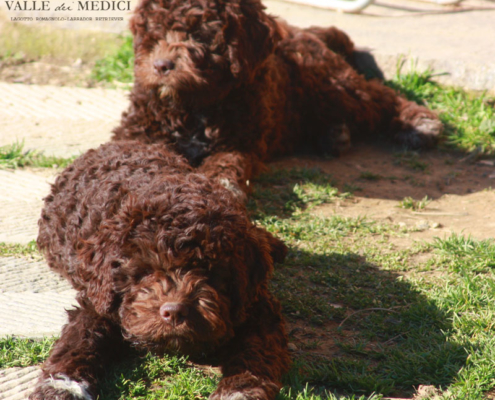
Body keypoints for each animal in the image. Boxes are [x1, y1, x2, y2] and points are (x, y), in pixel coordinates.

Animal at [31, 141, 290, 400]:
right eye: (146, 270)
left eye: (210, 270)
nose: (174, 312)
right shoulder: (97, 299)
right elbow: (78, 340)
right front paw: (61, 386)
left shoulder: (257, 307)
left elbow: (255, 350)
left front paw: (239, 391)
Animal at [114, 0, 444, 193]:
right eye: (153, 32)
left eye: (197, 33)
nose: (160, 66)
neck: (193, 104)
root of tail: (300, 30)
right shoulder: (138, 128)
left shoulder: (241, 141)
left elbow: (226, 163)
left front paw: (220, 183)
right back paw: (334, 135)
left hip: (327, 81)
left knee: (378, 96)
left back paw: (419, 122)